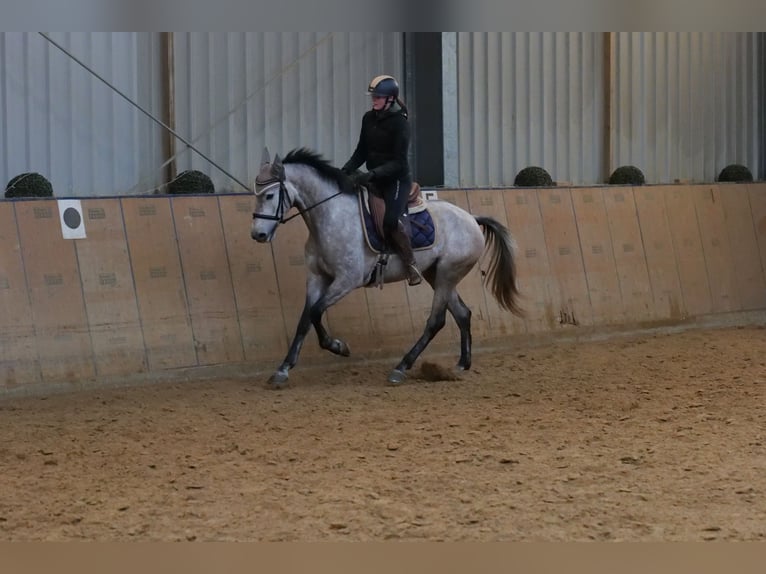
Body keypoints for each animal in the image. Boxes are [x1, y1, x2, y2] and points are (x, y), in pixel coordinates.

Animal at [250, 148, 520, 392]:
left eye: (270, 195)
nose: (258, 235)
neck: (330, 216)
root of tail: (472, 218)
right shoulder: (317, 278)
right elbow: (305, 320)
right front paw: (283, 369)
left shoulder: (347, 280)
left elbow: (316, 312)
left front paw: (338, 346)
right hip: (437, 275)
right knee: (462, 314)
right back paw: (462, 364)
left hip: (447, 274)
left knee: (436, 321)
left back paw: (401, 368)